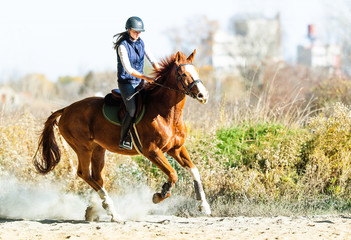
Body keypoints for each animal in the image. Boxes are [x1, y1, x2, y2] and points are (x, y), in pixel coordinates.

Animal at [34, 50, 212, 221]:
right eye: (183, 74)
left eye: (196, 71)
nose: (203, 96)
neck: (166, 113)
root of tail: (66, 109)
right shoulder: (152, 151)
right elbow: (173, 174)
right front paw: (159, 195)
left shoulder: (176, 149)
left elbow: (194, 170)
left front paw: (204, 206)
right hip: (83, 148)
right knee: (84, 174)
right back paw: (111, 211)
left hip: (98, 149)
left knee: (97, 178)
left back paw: (104, 210)